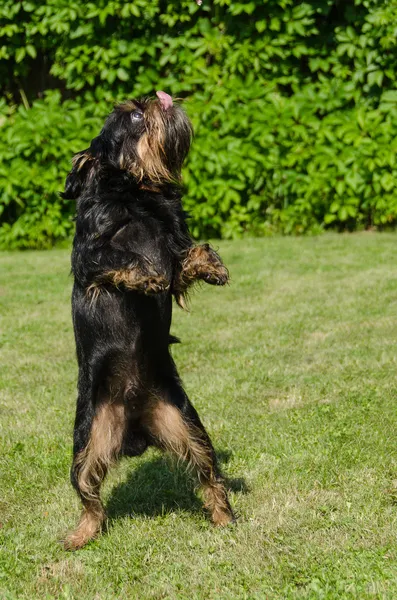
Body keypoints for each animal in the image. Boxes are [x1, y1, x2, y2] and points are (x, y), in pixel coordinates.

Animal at [60, 90, 234, 548]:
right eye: (136, 116)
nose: (158, 98)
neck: (139, 194)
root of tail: (134, 427)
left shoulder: (175, 249)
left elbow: (190, 253)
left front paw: (213, 266)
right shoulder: (89, 258)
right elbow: (124, 258)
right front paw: (147, 275)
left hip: (186, 425)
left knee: (208, 474)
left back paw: (224, 517)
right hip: (86, 441)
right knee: (90, 496)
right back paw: (81, 535)